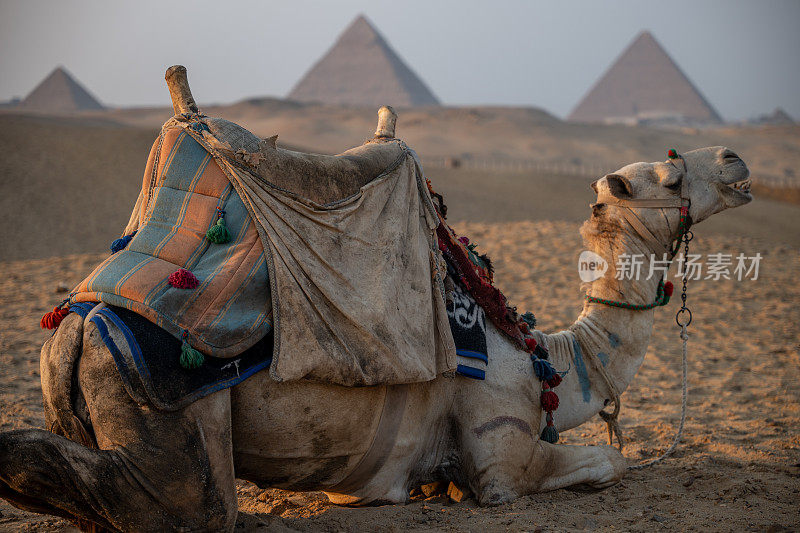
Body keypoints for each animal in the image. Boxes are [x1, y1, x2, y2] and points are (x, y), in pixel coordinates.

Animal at [0, 68, 752, 528]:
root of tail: (74, 323)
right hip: (162, 406)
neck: (549, 359)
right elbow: (607, 462)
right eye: (670, 174)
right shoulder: (501, 452)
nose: (735, 160)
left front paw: (434, 484)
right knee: (181, 504)